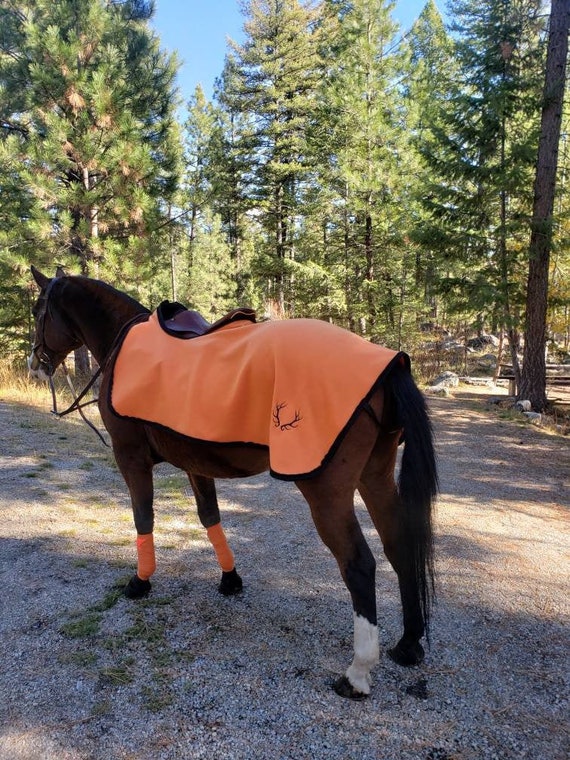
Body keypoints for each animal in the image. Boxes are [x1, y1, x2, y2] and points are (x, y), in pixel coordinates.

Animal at [26, 268, 438, 700]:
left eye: (38, 310)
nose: (34, 365)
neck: (121, 343)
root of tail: (388, 364)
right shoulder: (196, 464)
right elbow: (210, 518)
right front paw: (230, 580)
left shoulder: (130, 457)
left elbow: (143, 518)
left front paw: (140, 582)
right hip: (375, 477)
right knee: (399, 546)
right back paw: (408, 645)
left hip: (327, 493)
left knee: (359, 565)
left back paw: (357, 673)